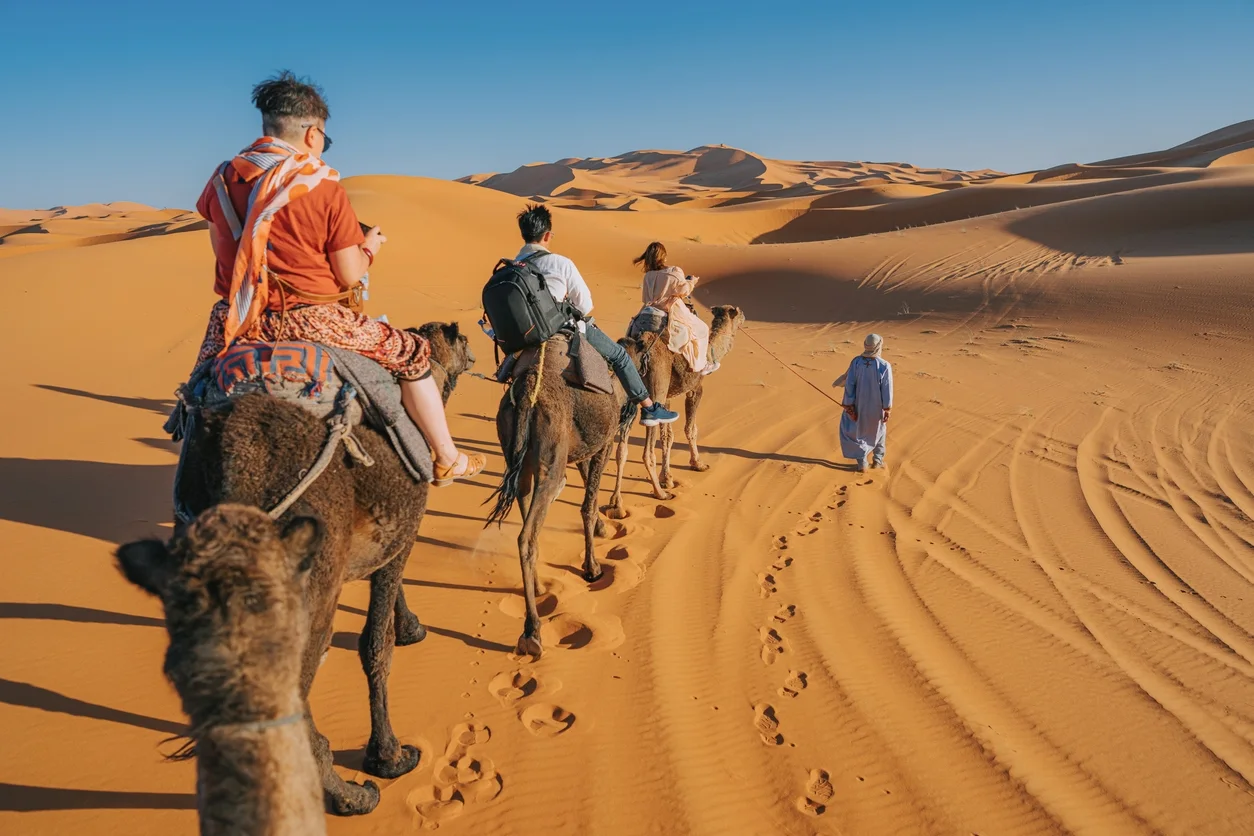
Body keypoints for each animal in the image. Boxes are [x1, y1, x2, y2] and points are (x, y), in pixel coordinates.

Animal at [487, 336, 635, 657]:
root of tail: (527, 394)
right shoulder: (603, 443)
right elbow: (588, 504)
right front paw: (592, 569)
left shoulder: (582, 449)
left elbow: (589, 493)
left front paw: (602, 530)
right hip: (550, 458)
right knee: (527, 535)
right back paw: (532, 632)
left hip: (518, 458)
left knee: (527, 518)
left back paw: (539, 589)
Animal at [609, 305, 745, 509]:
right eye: (738, 312)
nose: (745, 317)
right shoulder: (695, 389)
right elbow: (690, 428)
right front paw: (698, 464)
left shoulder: (667, 399)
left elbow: (668, 437)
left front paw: (667, 478)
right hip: (655, 389)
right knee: (647, 451)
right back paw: (660, 494)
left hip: (630, 395)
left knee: (621, 448)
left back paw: (617, 503)